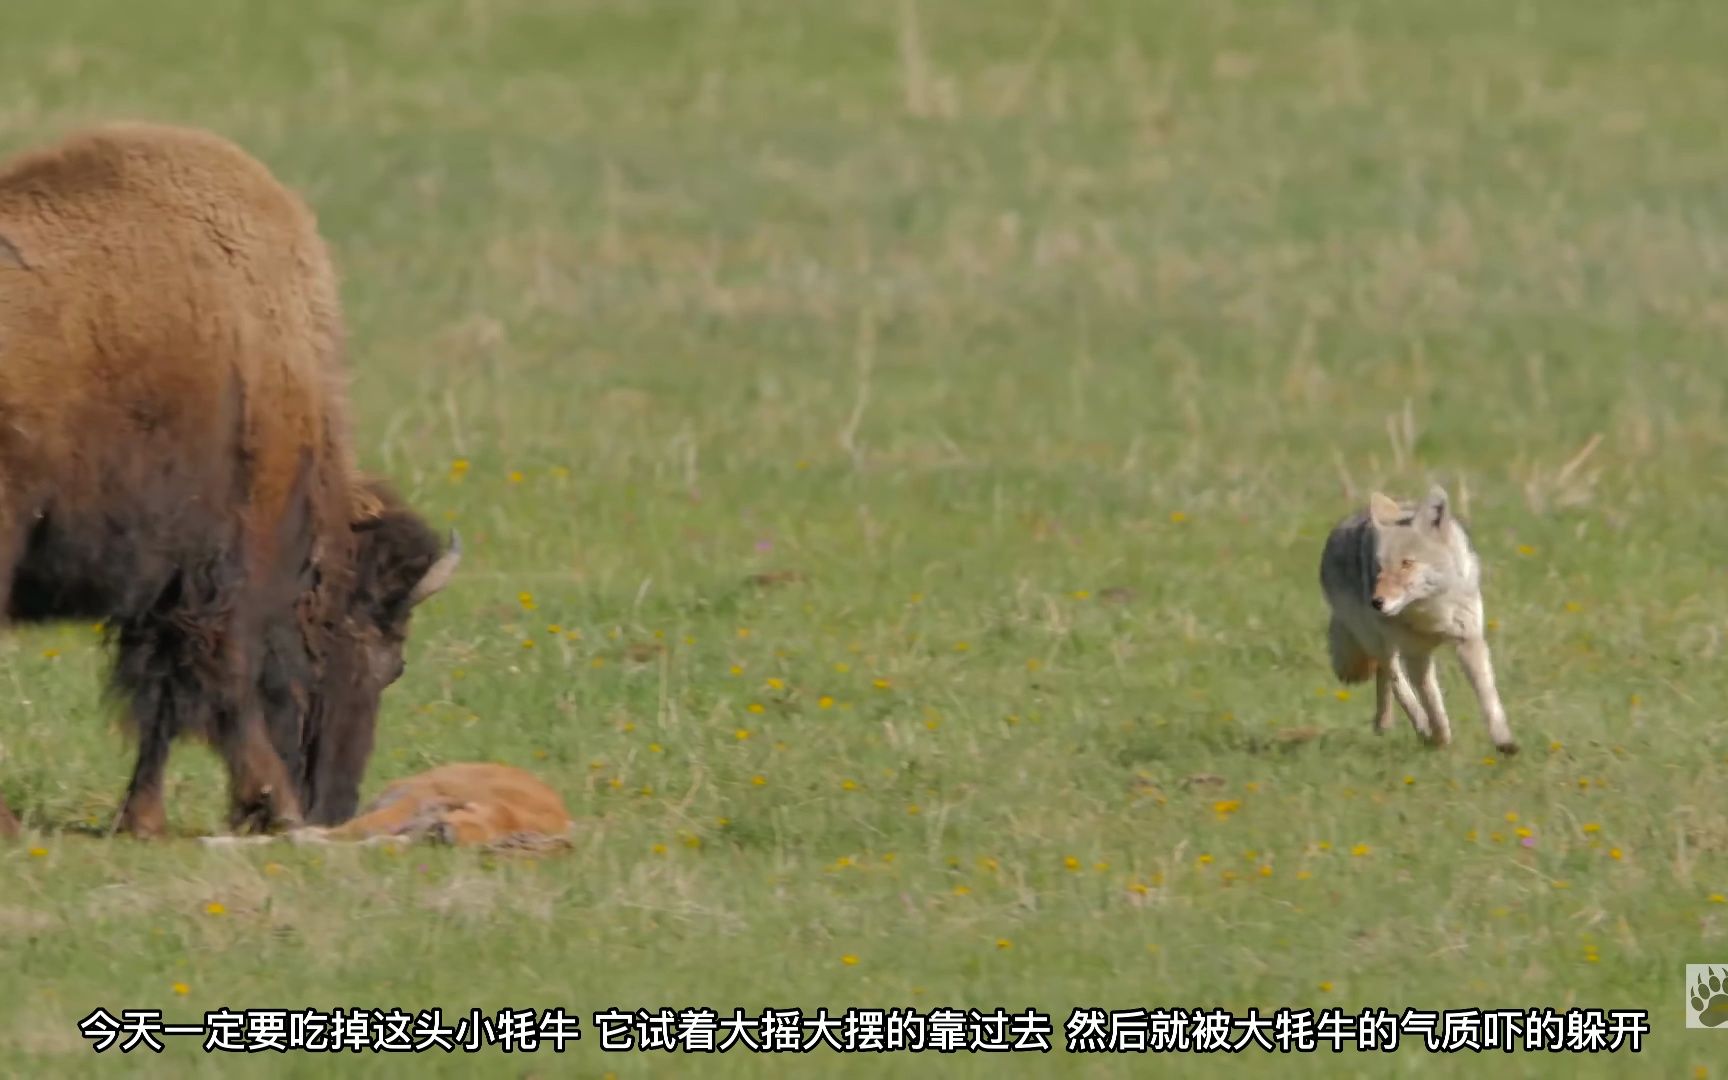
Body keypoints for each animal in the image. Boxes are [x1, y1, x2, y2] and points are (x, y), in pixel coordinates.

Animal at [0, 121, 459, 839]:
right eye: (389, 662)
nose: (335, 807)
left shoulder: (166, 592)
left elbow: (162, 708)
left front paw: (143, 819)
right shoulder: (225, 576)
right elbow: (219, 683)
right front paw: (274, 802)